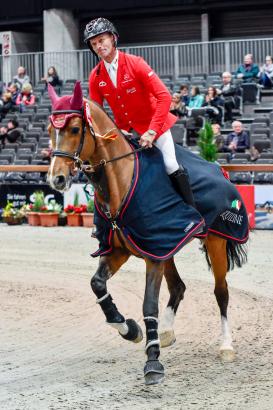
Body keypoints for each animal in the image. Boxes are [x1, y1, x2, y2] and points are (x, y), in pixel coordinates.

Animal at [46, 82, 246, 384]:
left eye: (74, 129)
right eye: (50, 129)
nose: (56, 179)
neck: (121, 180)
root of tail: (221, 172)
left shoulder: (153, 255)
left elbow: (149, 305)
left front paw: (152, 362)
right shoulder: (124, 250)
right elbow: (97, 284)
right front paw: (129, 329)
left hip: (215, 242)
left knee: (220, 291)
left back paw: (226, 346)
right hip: (167, 246)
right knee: (178, 287)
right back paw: (166, 334)